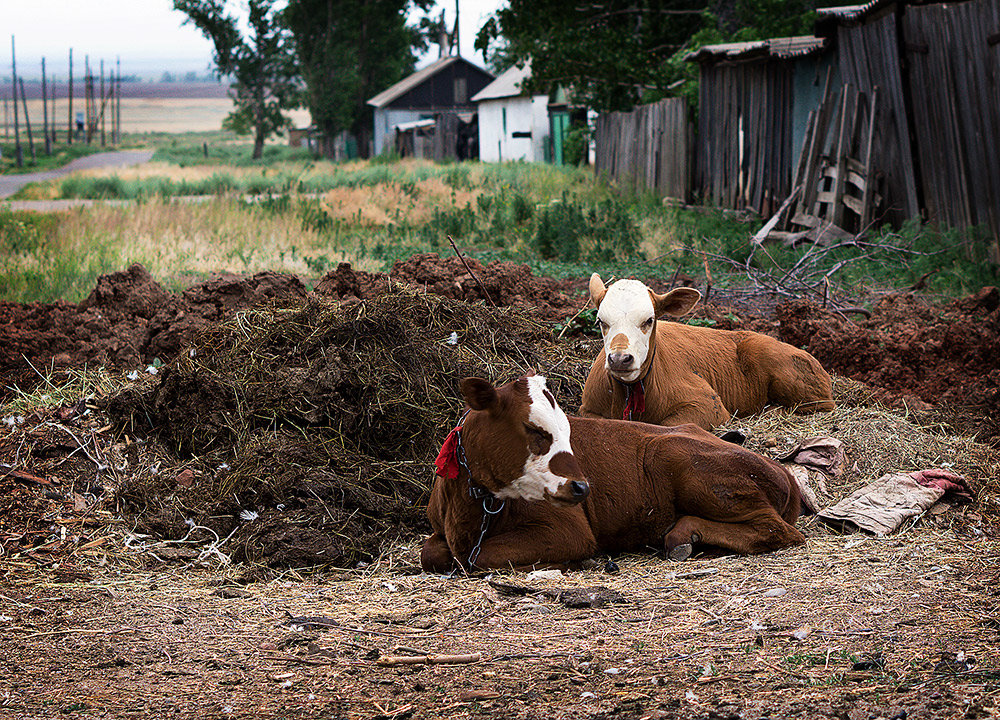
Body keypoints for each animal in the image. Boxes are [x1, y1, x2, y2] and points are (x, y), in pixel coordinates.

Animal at [420, 374, 804, 572]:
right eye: (534, 429)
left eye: (567, 430)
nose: (581, 487)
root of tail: (782, 470)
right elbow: (431, 554)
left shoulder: (568, 531)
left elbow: (479, 557)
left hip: (679, 458)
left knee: (779, 530)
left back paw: (683, 535)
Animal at [580, 274, 836, 434]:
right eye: (601, 321)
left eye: (649, 320)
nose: (620, 359)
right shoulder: (587, 409)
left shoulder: (708, 405)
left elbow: (666, 426)